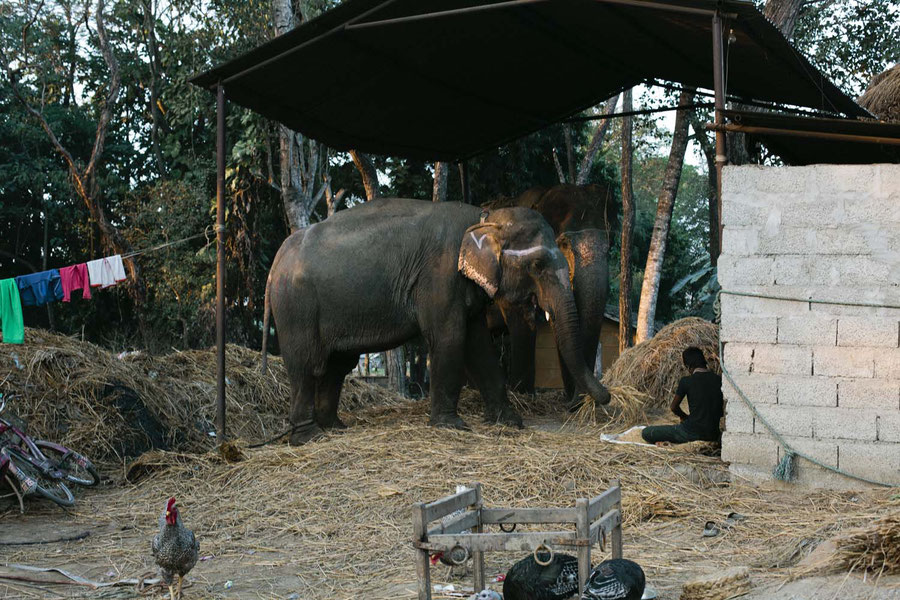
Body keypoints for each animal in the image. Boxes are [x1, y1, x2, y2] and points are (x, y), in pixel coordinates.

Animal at [262, 198, 612, 446]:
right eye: (538, 265)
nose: (607, 398)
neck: (484, 218)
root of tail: (277, 260)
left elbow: (477, 345)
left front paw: (510, 421)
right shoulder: (440, 276)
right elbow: (450, 337)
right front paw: (451, 425)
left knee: (337, 364)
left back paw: (334, 427)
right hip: (296, 305)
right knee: (305, 364)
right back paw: (309, 437)